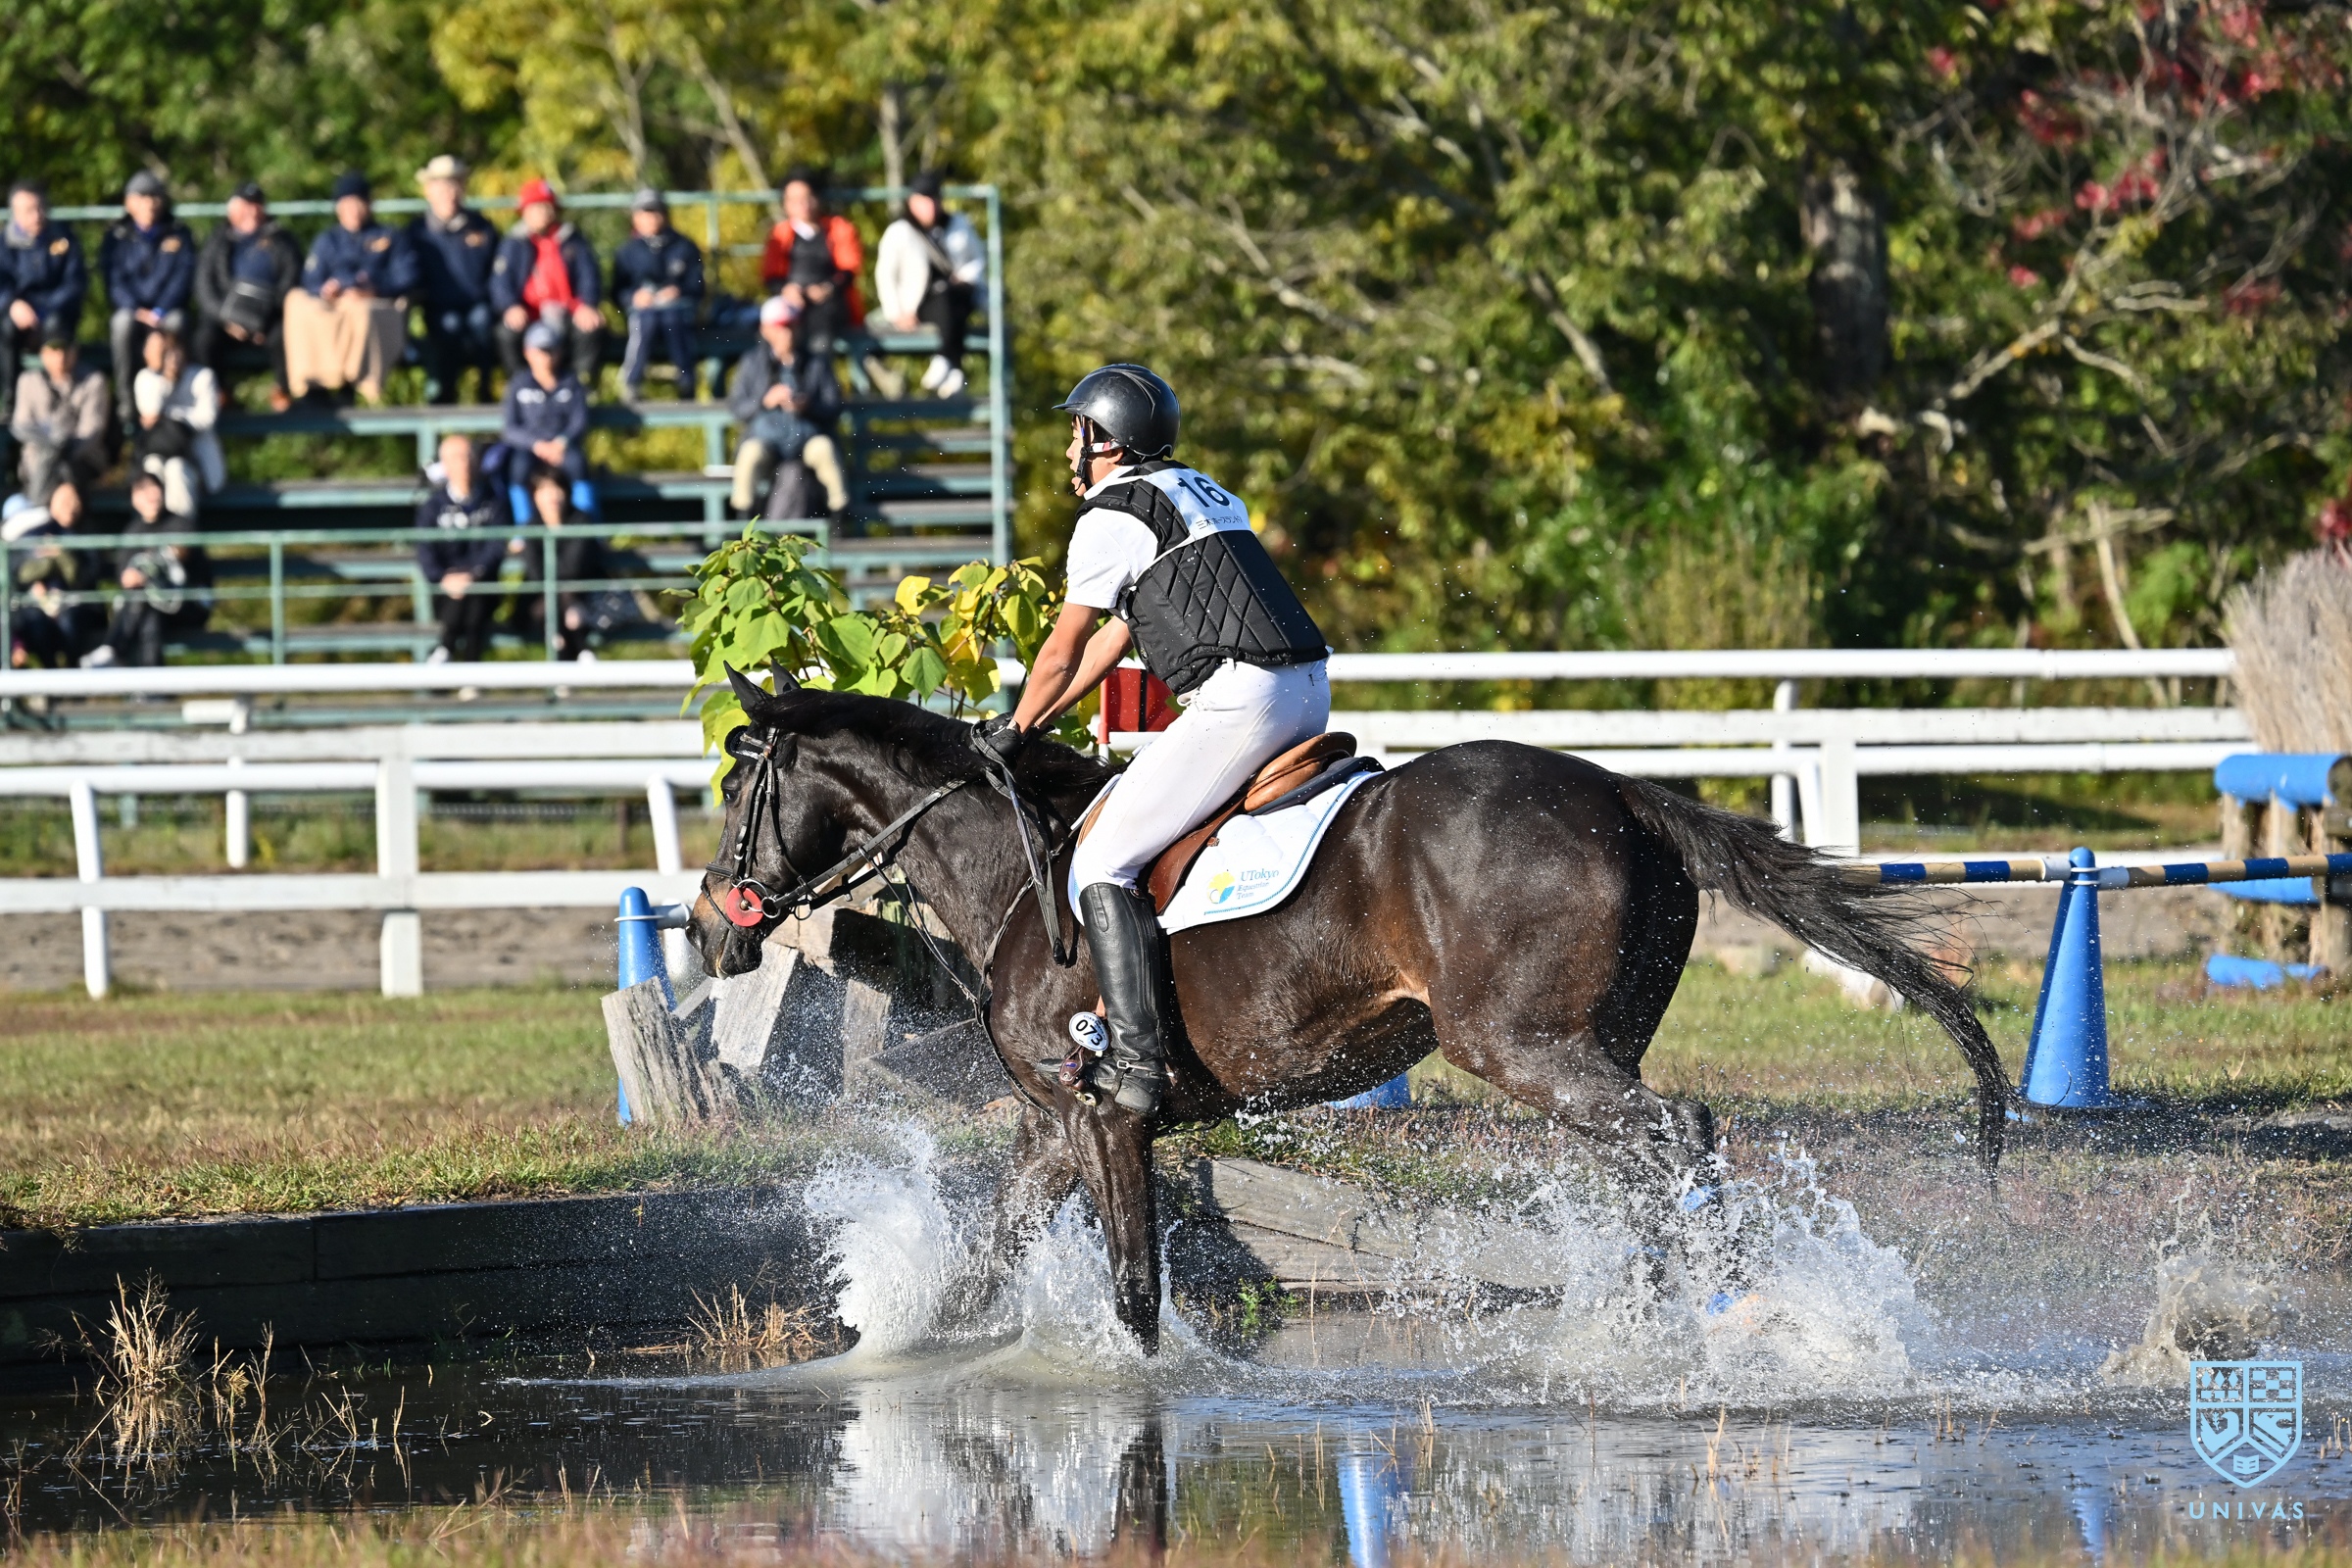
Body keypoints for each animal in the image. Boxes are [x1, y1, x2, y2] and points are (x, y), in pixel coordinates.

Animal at [689, 669, 2006, 1353]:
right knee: (1649, 1151)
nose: (709, 925)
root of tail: (1625, 796)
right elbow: (978, 1272)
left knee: (1677, 1132)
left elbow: (1132, 1287)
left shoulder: (1109, 1119)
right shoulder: (1051, 1130)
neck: (1015, 870)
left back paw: (1738, 1312)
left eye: (737, 784)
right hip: (1589, 1039)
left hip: (1518, 1043)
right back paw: (1659, 1323)